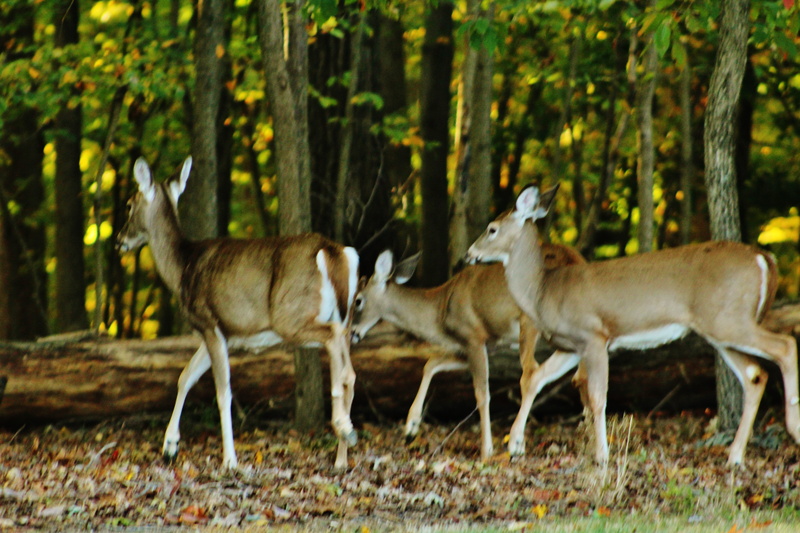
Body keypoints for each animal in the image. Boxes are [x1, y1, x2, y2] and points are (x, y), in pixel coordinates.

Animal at [117, 157, 360, 470]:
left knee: (333, 339)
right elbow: (185, 376)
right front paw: (170, 446)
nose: (119, 239)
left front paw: (229, 460)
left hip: (290, 315)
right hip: (342, 312)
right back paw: (343, 453)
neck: (182, 268)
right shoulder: (223, 333)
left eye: (129, 204)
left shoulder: (209, 322)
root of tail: (332, 251)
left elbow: (223, 393)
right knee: (347, 358)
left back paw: (342, 425)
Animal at [350, 243, 586, 460]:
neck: (440, 310)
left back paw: (515, 444)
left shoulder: (473, 336)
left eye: (358, 300)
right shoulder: (485, 346)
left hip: (530, 320)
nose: (352, 333)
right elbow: (431, 363)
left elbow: (482, 394)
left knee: (530, 373)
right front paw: (411, 427)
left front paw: (486, 451)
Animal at [465, 184, 800, 466]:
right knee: (755, 375)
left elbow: (598, 397)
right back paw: (734, 456)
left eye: (492, 228)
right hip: (720, 327)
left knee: (785, 346)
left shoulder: (594, 335)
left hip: (729, 319)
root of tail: (765, 258)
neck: (543, 291)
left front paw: (602, 456)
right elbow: (535, 378)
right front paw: (514, 444)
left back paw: (792, 430)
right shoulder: (572, 345)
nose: (469, 253)